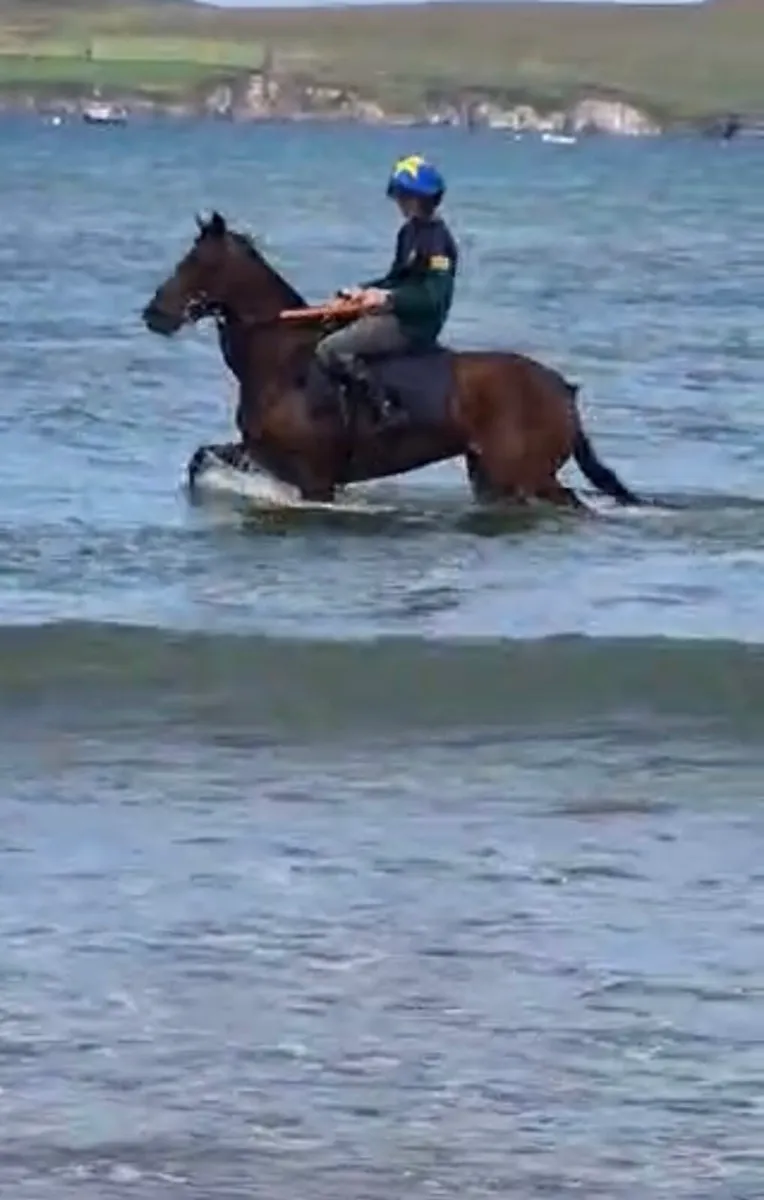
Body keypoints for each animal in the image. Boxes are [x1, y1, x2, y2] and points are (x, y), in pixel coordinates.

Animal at [142, 211, 640, 509]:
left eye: (198, 262)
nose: (154, 314)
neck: (283, 362)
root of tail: (563, 389)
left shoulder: (316, 479)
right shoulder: (261, 453)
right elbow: (200, 458)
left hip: (526, 474)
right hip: (494, 476)